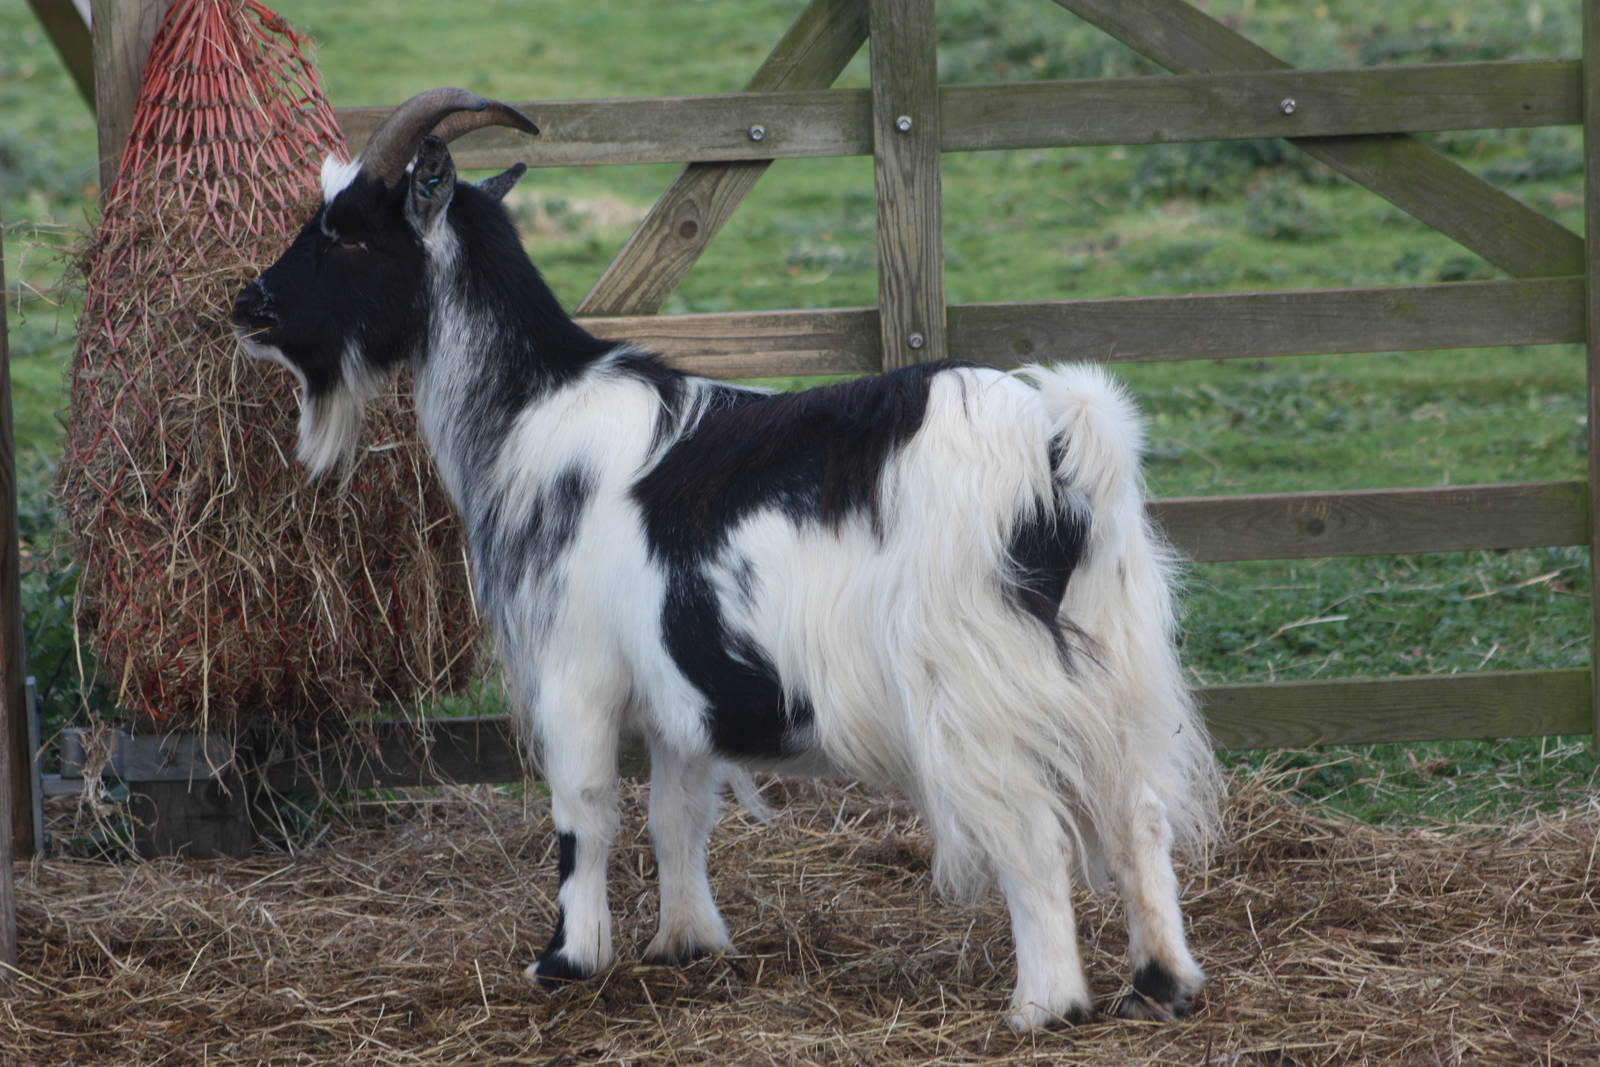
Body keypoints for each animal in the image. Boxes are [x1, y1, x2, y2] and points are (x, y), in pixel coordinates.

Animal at [232, 88, 1221, 1030]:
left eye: (345, 230)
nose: (249, 305)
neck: (530, 414)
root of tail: (1060, 446)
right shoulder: (679, 687)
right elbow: (678, 814)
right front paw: (687, 940)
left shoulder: (574, 670)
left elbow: (583, 812)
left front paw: (568, 958)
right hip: (1115, 660)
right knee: (1139, 817)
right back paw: (1161, 984)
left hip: (977, 684)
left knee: (1035, 836)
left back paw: (1044, 1004)